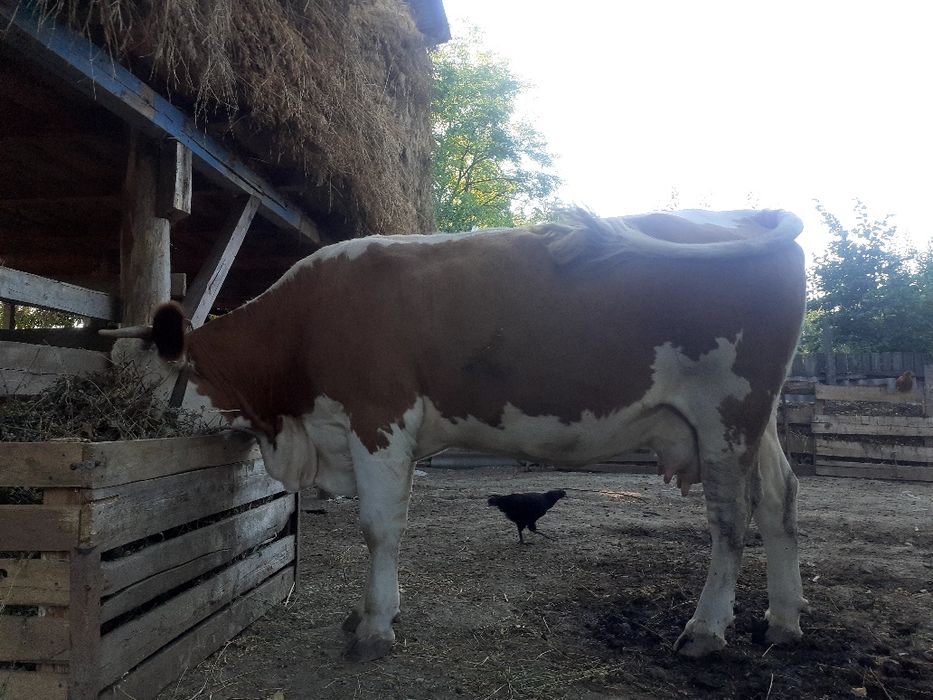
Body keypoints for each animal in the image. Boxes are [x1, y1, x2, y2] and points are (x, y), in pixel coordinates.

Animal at [102, 208, 808, 662]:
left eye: (136, 388)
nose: (115, 436)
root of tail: (743, 214)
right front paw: (376, 614)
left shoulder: (379, 416)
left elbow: (379, 526)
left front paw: (375, 627)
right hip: (758, 417)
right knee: (780, 502)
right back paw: (782, 621)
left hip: (726, 413)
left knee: (731, 521)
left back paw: (706, 631)